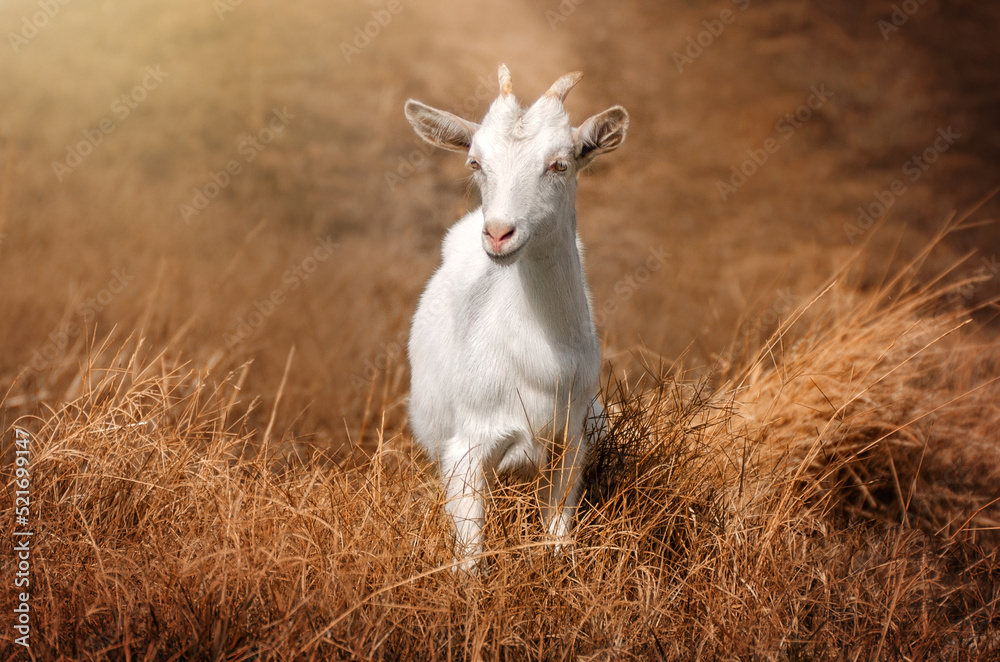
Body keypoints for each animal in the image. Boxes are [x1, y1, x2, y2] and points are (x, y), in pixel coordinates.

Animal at [405, 64, 628, 570]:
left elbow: (558, 536)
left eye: (560, 163)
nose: (499, 233)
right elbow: (471, 559)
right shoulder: (466, 452)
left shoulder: (571, 443)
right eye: (475, 162)